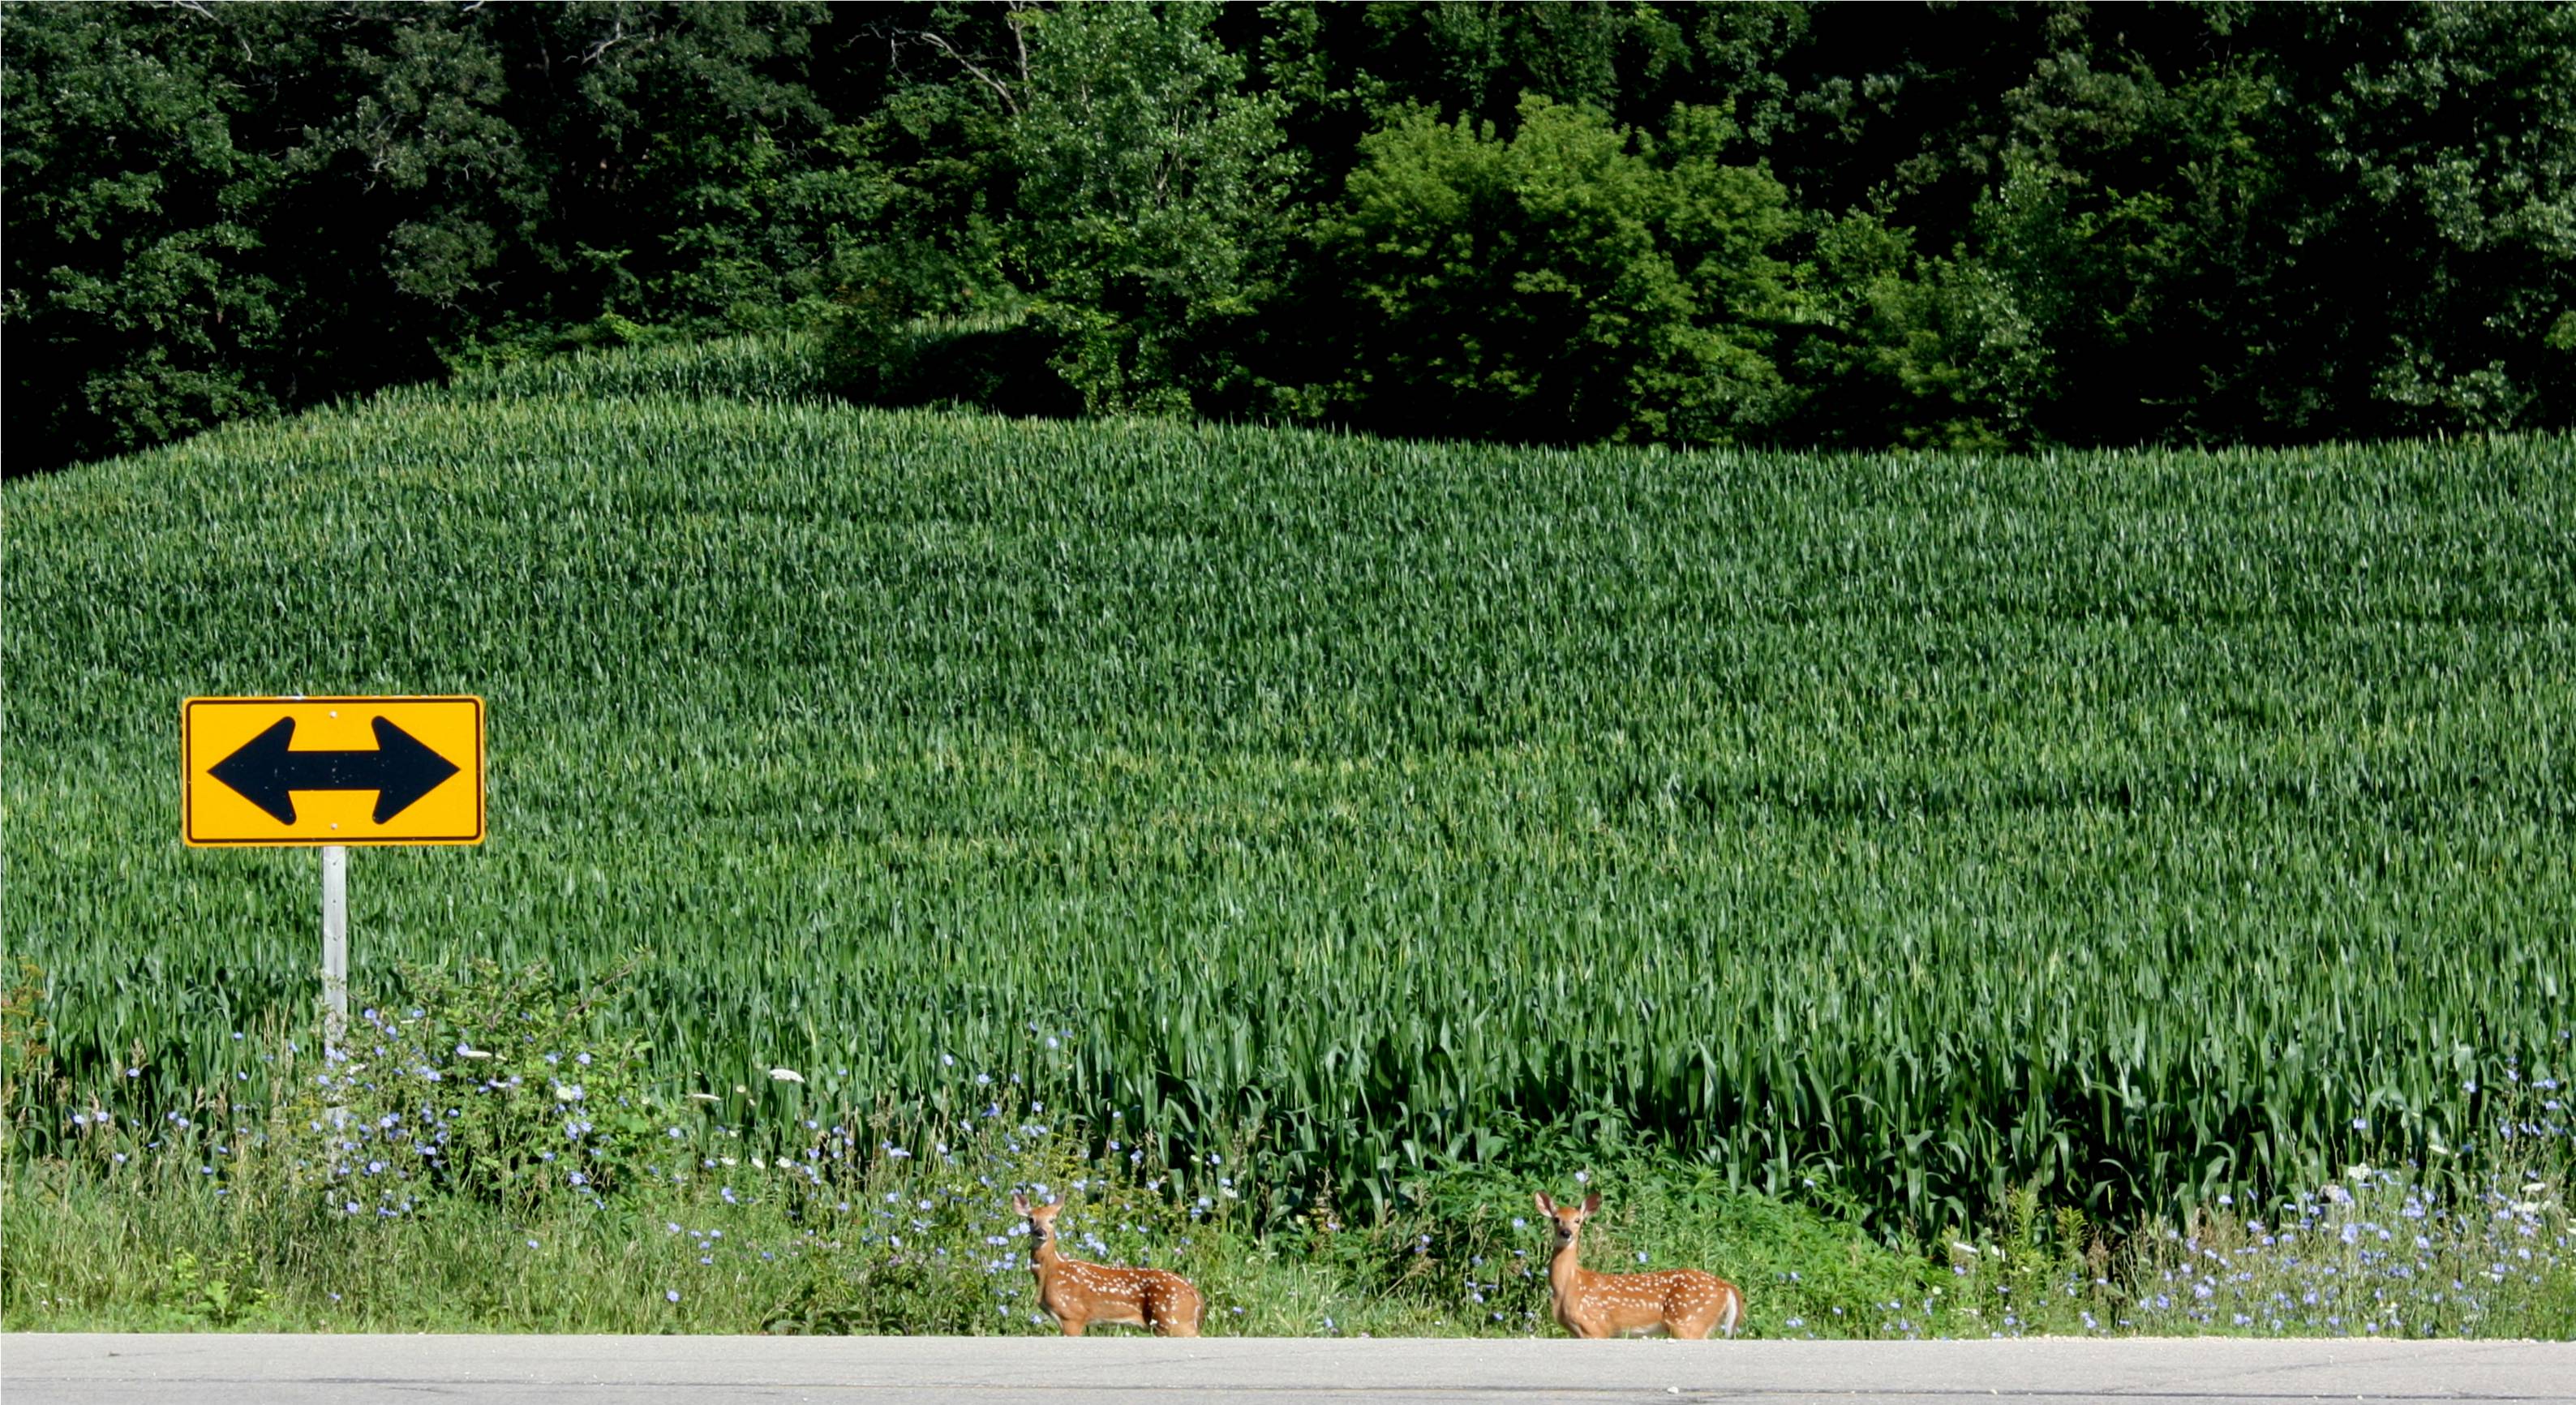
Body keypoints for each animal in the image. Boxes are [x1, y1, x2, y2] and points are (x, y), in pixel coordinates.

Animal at [1012, 1193, 1205, 1336]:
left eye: (1052, 1220)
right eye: (1030, 1219)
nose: (1041, 1232)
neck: (1050, 1271)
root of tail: (1196, 1295)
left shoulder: (1073, 1315)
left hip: (1176, 1321)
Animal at [1535, 1191, 1744, 1339]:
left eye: (1578, 1220)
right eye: (1556, 1219)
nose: (1566, 1233)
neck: (1569, 1285)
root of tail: (1727, 1287)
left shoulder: (1596, 1326)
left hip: (1688, 1321)